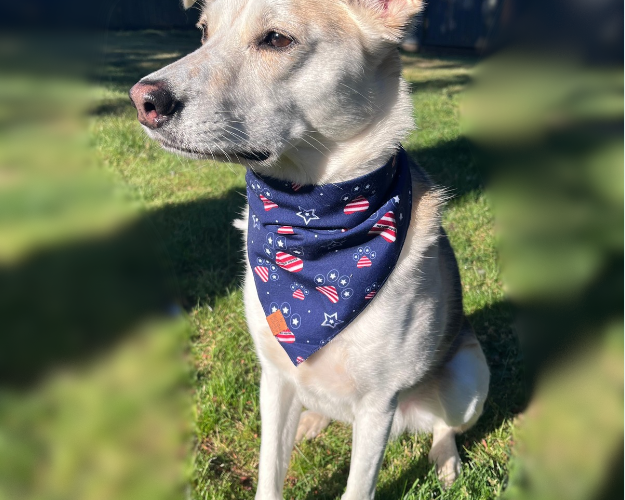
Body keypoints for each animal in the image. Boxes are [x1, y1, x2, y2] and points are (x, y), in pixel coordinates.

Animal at [129, 1, 490, 498]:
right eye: (203, 32)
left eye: (277, 39)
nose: (142, 100)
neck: (311, 219)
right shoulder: (275, 377)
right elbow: (269, 472)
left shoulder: (378, 403)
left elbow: (358, 487)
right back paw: (313, 421)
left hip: (468, 380)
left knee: (444, 426)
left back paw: (446, 461)